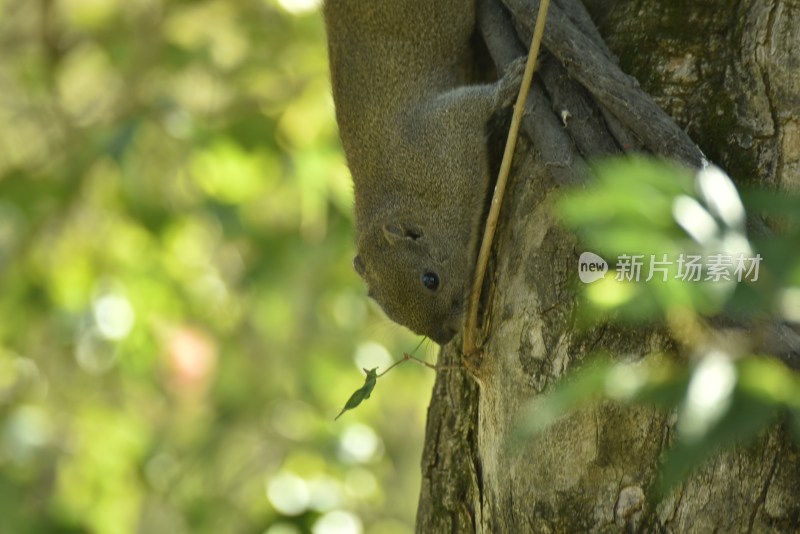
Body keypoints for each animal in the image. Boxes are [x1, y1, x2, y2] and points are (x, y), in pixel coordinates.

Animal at [322, 0, 520, 346]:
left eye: (431, 280)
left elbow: (479, 101)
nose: (444, 338)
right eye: (391, 312)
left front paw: (512, 82)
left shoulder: (443, 128)